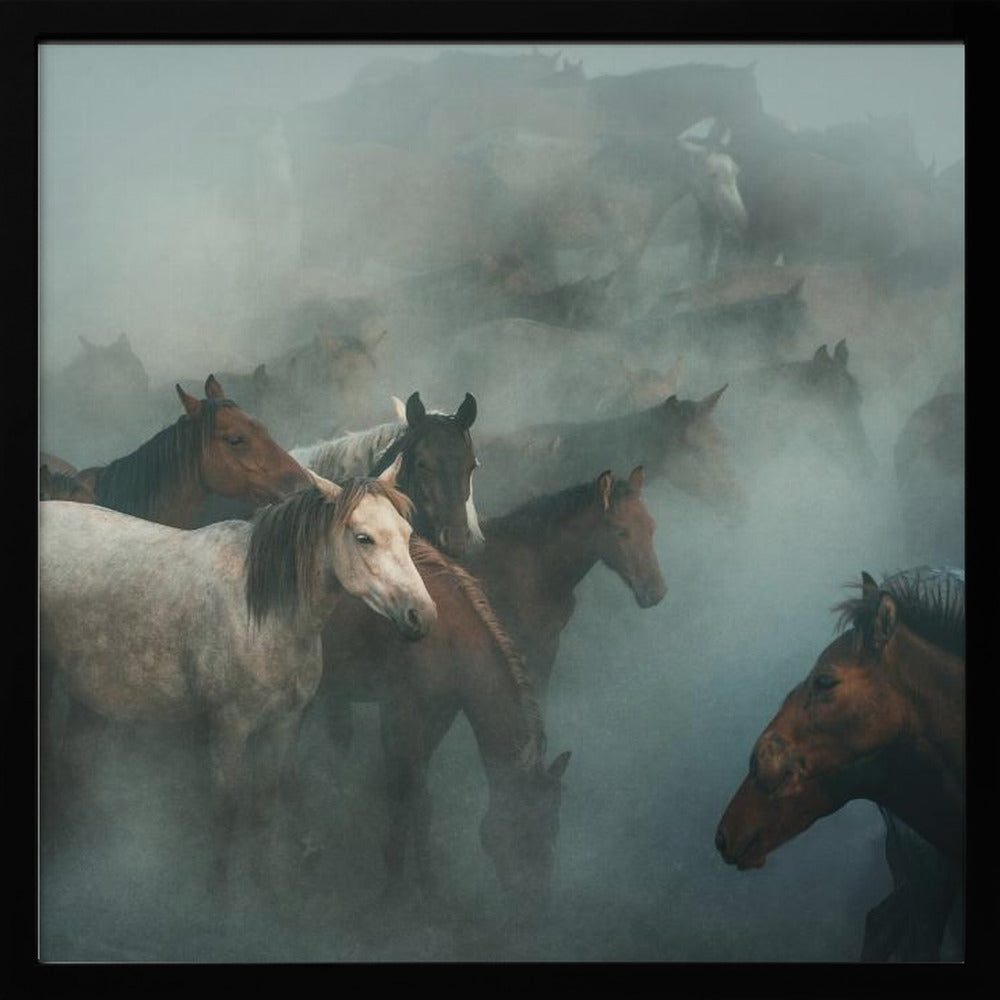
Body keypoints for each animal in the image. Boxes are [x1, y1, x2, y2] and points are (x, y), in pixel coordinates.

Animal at [39, 461, 437, 902]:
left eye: (406, 534)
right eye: (363, 538)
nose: (422, 615)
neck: (263, 614)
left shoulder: (283, 724)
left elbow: (264, 803)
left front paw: (266, 889)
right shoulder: (229, 728)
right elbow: (226, 810)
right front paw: (218, 896)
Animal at [317, 534, 571, 911]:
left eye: (554, 827)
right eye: (525, 828)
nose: (537, 902)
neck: (450, 636)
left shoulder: (437, 716)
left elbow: (417, 796)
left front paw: (425, 884)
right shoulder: (400, 714)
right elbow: (408, 794)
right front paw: (397, 884)